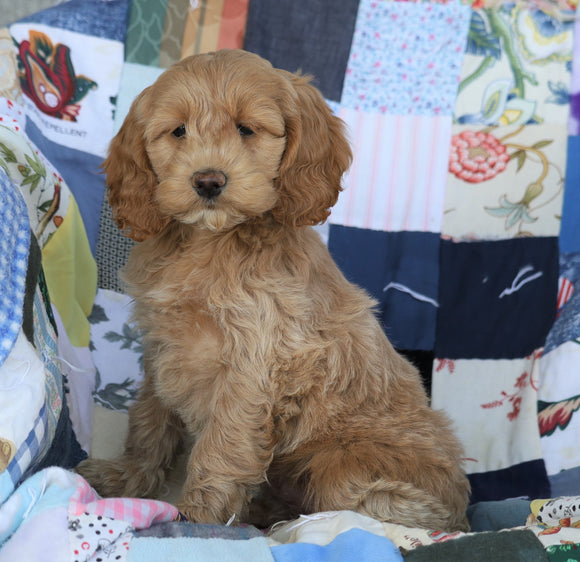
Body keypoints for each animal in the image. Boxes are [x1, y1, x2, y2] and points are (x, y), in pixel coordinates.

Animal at [79, 48, 472, 528]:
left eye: (246, 129)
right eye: (178, 131)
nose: (208, 180)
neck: (211, 241)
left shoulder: (255, 365)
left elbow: (222, 445)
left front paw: (196, 518)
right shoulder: (161, 349)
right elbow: (150, 421)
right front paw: (127, 478)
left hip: (343, 467)